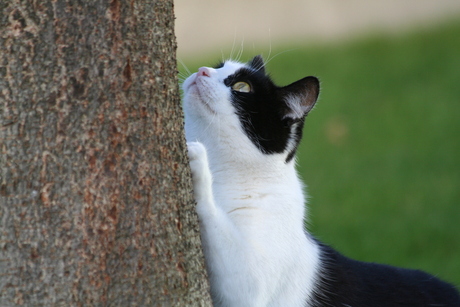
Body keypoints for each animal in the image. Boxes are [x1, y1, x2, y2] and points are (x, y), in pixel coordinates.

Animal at [181, 56, 458, 307]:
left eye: (242, 87)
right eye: (217, 66)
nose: (203, 70)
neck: (224, 174)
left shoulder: (250, 287)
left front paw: (196, 159)